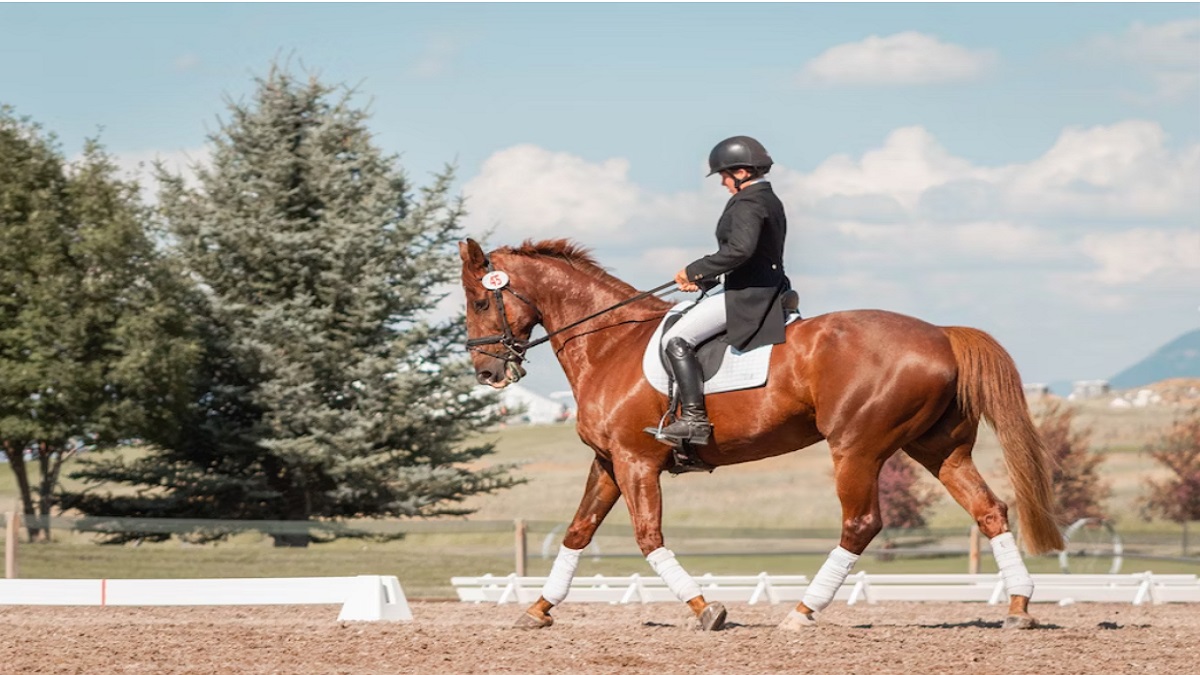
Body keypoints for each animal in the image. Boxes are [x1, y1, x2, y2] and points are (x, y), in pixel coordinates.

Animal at [458, 238, 1063, 632]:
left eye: (482, 300)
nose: (487, 374)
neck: (610, 343)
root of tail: (940, 334)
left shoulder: (636, 463)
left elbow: (648, 538)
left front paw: (706, 609)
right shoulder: (610, 462)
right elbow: (578, 532)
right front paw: (538, 609)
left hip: (856, 447)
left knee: (861, 524)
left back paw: (802, 613)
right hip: (939, 449)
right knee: (989, 510)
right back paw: (1018, 609)